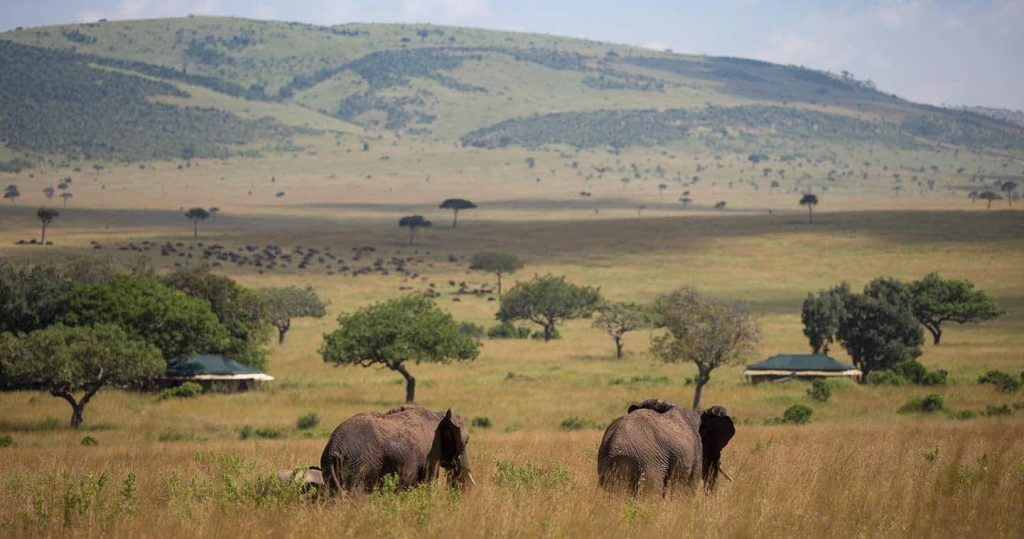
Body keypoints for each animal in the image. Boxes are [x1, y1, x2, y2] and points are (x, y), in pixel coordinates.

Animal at [319, 407, 475, 495]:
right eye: (467, 441)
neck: (438, 415)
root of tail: (333, 449)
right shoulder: (432, 451)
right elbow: (428, 482)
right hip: (358, 464)